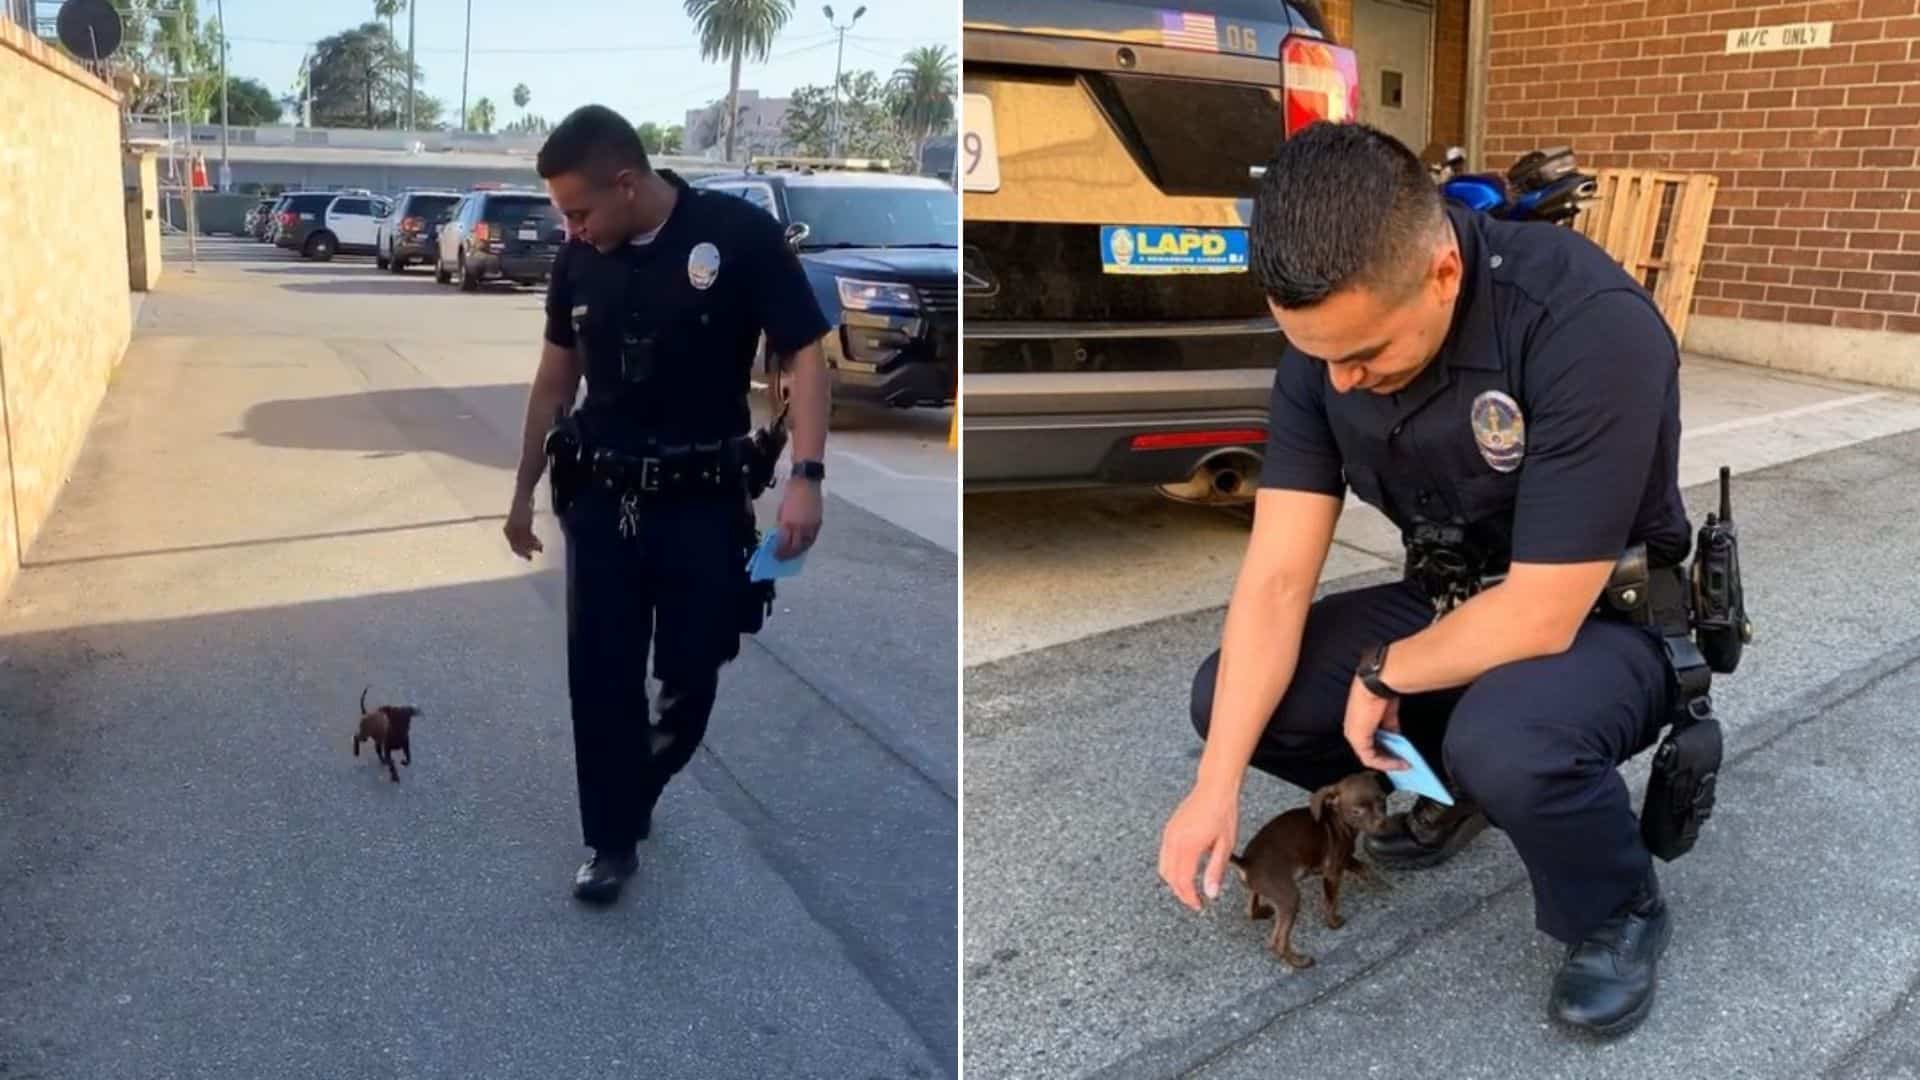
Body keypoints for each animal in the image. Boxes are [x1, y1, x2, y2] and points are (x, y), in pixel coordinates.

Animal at [1228, 768, 1397, 960]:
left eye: (1382, 801)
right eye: (1357, 811)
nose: (1384, 823)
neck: (1337, 819)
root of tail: (1246, 862)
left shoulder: (1345, 859)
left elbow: (1364, 868)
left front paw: (1380, 884)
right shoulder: (1332, 871)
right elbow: (1331, 901)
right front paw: (1333, 923)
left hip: (1260, 888)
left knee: (1251, 910)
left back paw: (1263, 912)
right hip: (1289, 897)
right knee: (1278, 942)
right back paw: (1300, 961)